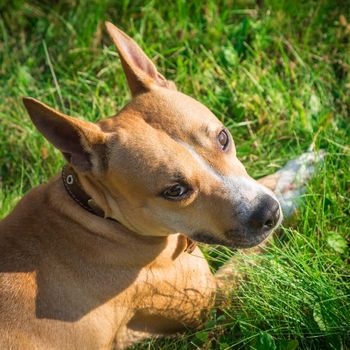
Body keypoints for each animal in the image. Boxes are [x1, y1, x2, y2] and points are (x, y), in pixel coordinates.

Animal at [0, 23, 282, 348]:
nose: (269, 213)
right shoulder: (211, 303)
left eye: (223, 137)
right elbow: (248, 256)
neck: (94, 212)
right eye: (175, 191)